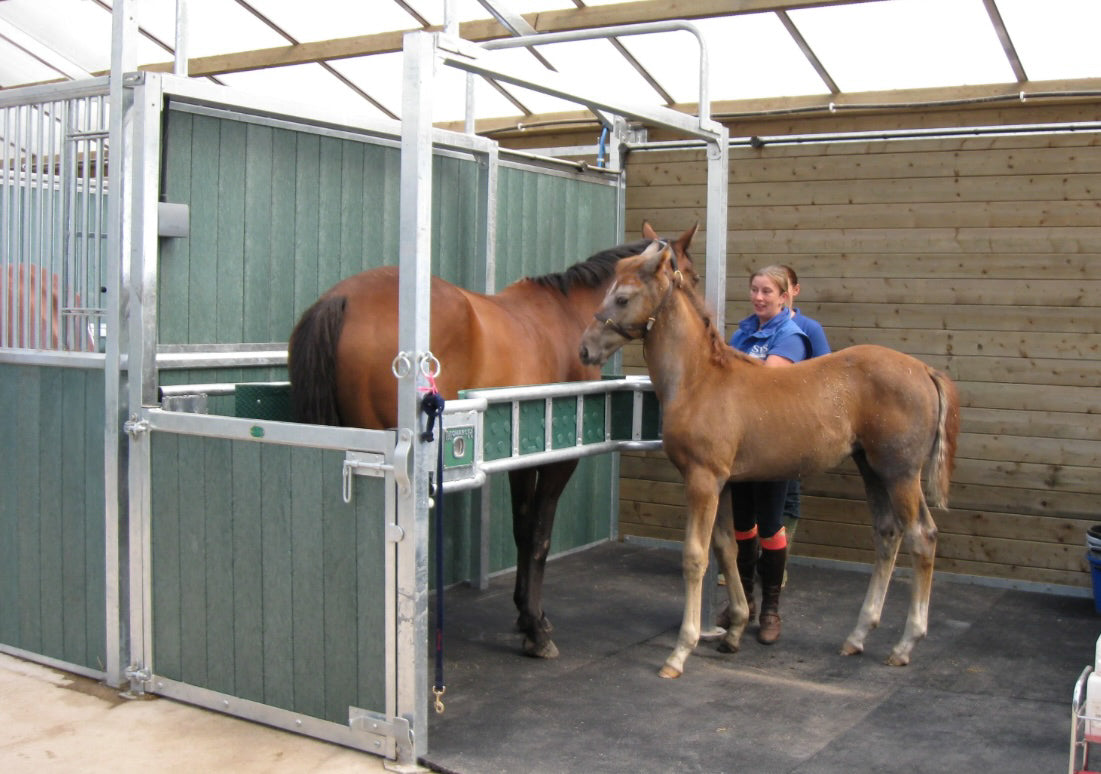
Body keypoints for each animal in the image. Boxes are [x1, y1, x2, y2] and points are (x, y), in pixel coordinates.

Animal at [288, 223, 698, 659]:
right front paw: (535, 631)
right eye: (692, 277)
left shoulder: (522, 455)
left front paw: (528, 614)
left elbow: (522, 530)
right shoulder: (558, 459)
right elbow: (539, 537)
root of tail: (341, 299)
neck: (567, 314)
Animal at [578, 241, 960, 678]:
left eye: (622, 298)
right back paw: (857, 636)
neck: (698, 380)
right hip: (872, 469)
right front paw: (734, 630)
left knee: (922, 537)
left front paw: (680, 651)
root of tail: (925, 370)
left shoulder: (702, 480)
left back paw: (905, 643)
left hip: (900, 473)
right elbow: (728, 549)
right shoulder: (726, 483)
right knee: (887, 534)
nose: (585, 348)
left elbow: (695, 556)